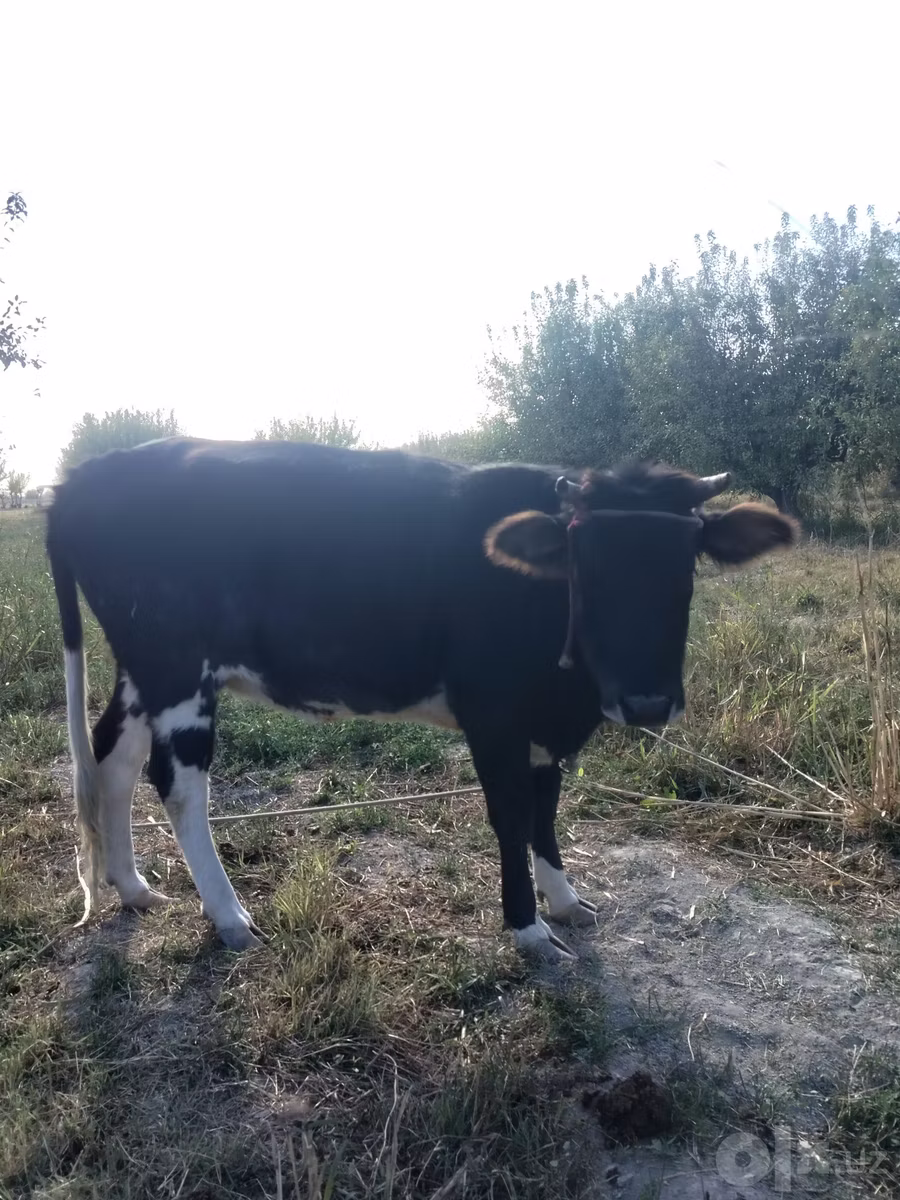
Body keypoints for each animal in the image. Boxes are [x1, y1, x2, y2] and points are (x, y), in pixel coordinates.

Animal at [46, 439, 797, 960]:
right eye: (589, 569)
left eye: (686, 566)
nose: (645, 703)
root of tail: (88, 474)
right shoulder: (493, 712)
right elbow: (511, 816)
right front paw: (527, 929)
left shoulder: (543, 725)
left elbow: (547, 810)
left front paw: (564, 900)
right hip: (176, 665)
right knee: (175, 783)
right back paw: (229, 916)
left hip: (142, 668)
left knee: (111, 757)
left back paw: (133, 887)